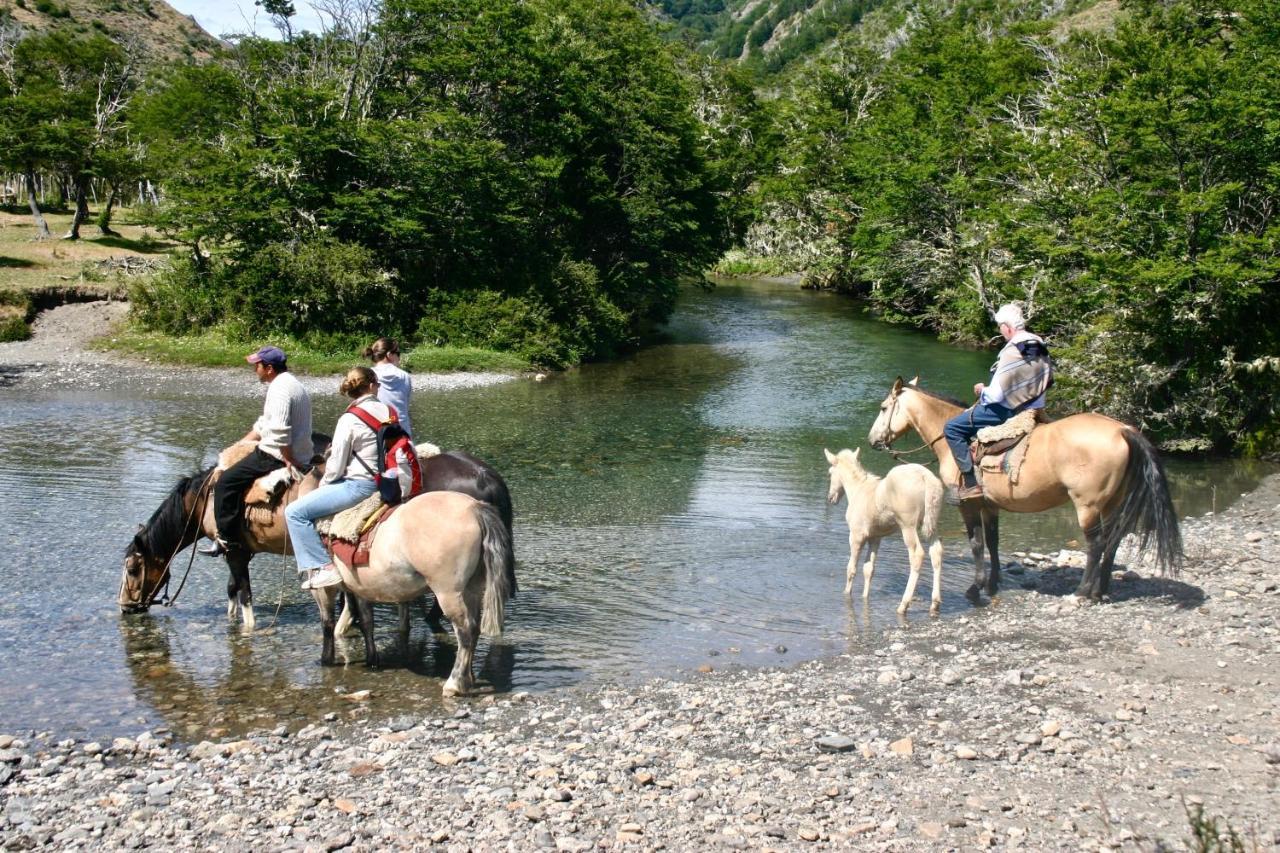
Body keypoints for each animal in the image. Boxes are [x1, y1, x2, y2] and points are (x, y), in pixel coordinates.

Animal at [824, 445, 947, 612]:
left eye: (830, 473)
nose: (831, 498)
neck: (858, 490)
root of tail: (925, 477)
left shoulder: (856, 536)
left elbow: (851, 568)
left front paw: (846, 593)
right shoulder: (875, 537)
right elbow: (868, 569)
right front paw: (865, 597)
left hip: (908, 526)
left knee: (917, 555)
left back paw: (904, 604)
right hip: (931, 524)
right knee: (936, 552)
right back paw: (935, 602)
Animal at [865, 376, 1182, 601]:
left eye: (883, 408)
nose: (872, 441)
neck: (951, 438)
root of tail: (1122, 429)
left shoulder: (969, 504)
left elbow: (977, 543)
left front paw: (975, 588)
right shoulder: (990, 505)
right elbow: (993, 542)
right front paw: (992, 584)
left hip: (1087, 505)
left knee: (1097, 544)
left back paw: (1082, 593)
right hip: (1111, 502)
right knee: (1114, 541)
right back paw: (1101, 590)